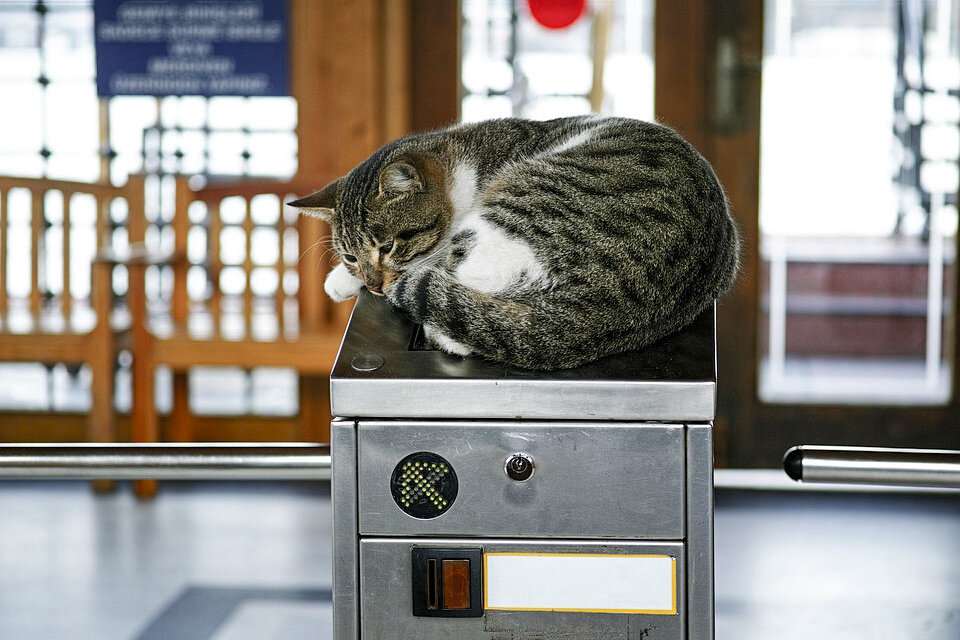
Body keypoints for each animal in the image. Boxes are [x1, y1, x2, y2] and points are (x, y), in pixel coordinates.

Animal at [288, 115, 740, 370]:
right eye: (351, 254)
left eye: (389, 245)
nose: (374, 284)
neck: (462, 158)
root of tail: (611, 302)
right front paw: (344, 279)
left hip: (508, 217)